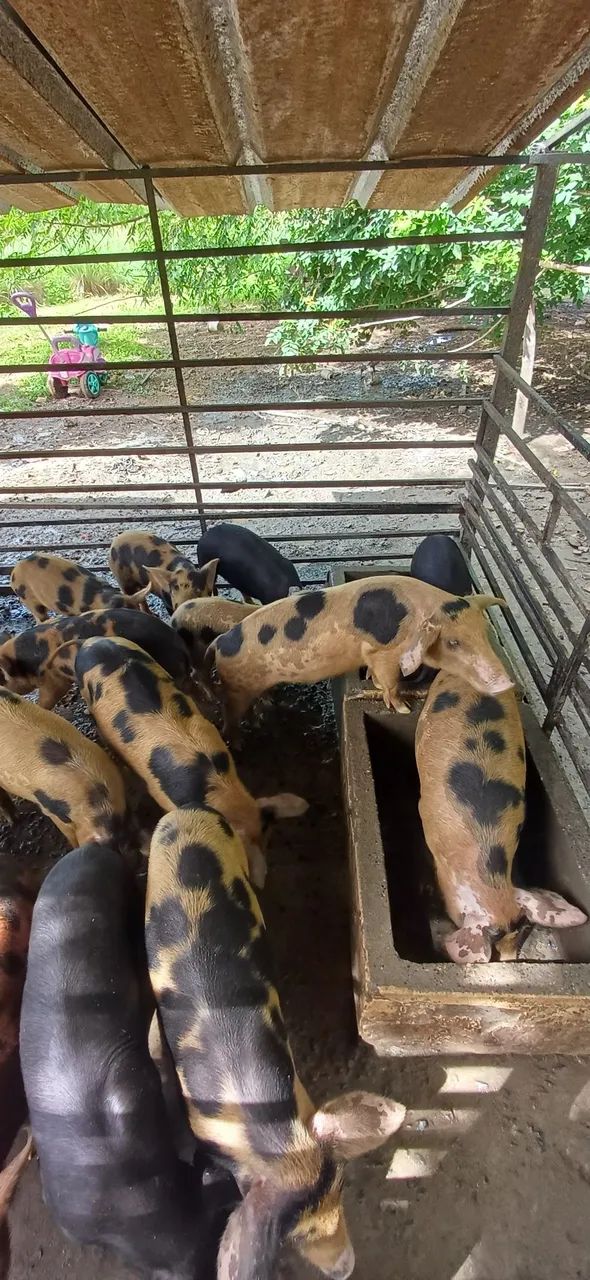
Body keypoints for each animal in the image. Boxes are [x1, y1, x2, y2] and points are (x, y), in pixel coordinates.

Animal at [208, 577, 512, 732]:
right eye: (453, 642)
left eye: (484, 632)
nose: (507, 683)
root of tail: (220, 643)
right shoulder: (383, 652)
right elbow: (391, 682)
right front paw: (403, 708)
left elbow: (379, 678)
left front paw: (376, 685)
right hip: (236, 687)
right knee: (229, 714)